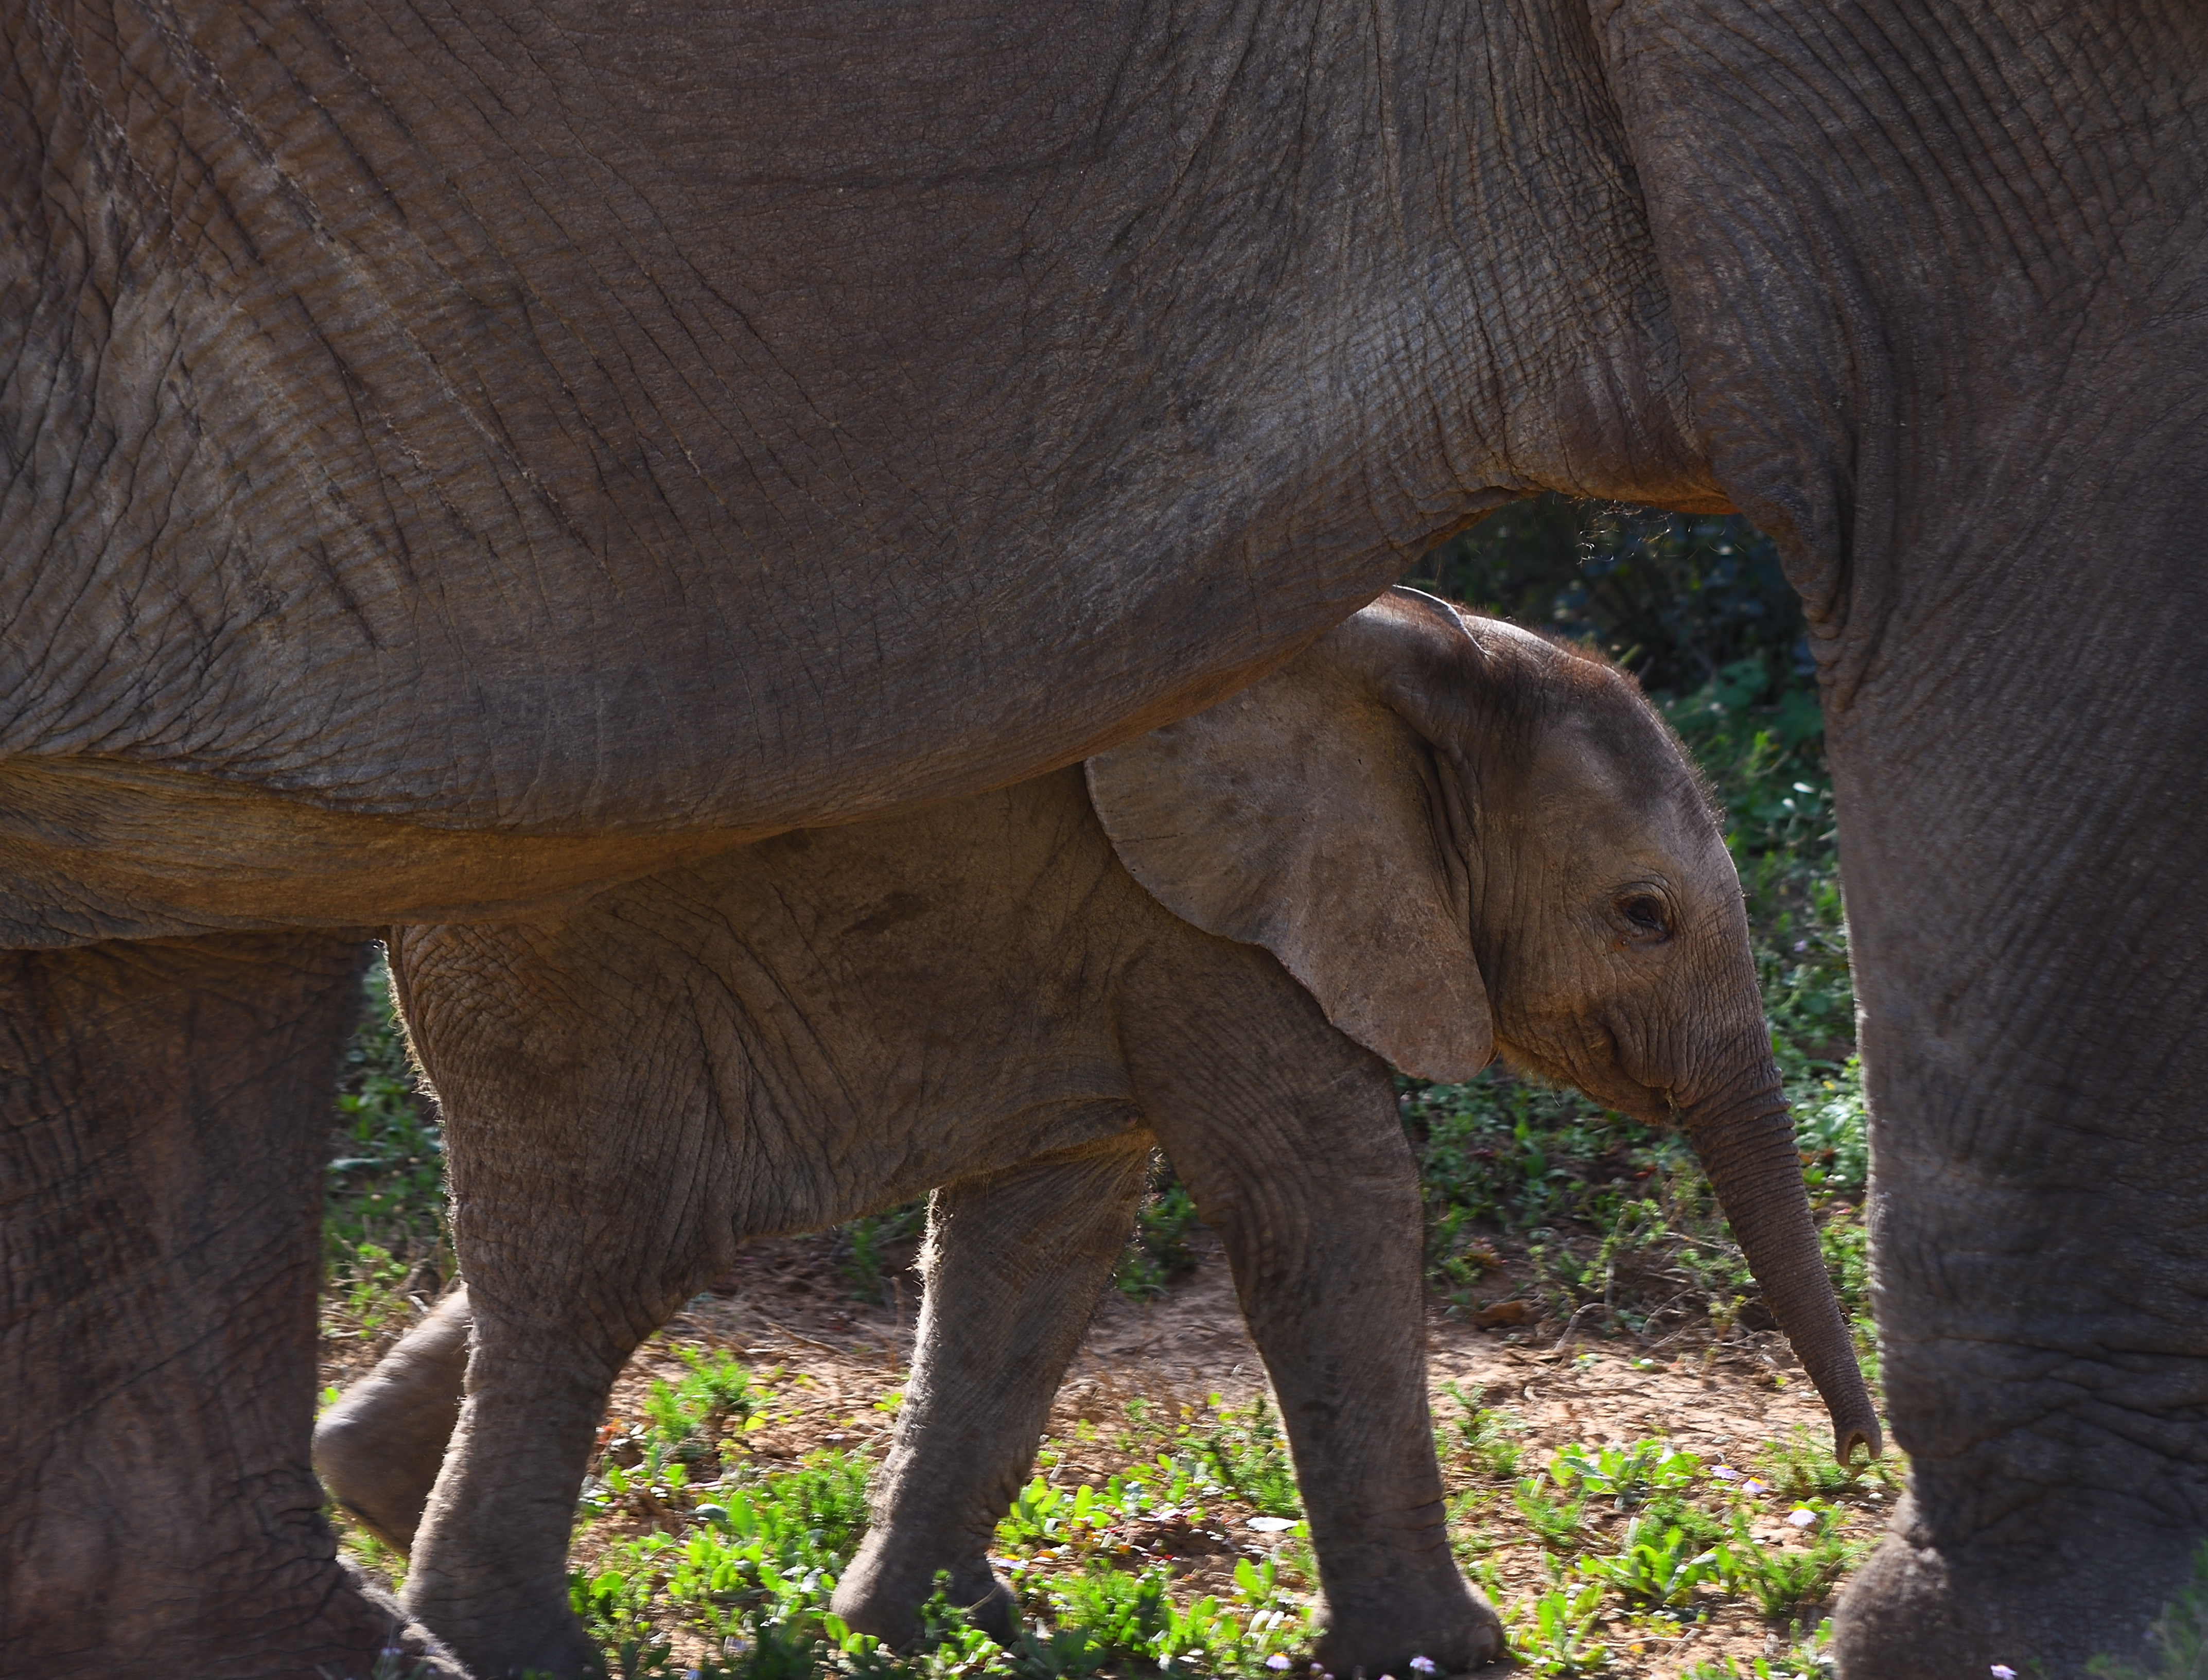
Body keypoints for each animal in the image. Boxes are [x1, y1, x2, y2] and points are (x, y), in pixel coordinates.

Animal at [311, 592, 1877, 1678]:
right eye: (1641, 915)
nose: (1864, 1467)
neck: (1422, 664)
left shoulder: (1135, 930)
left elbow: (1041, 1234)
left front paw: (935, 1630)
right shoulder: (1212, 925)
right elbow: (1328, 1201)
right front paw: (1454, 1654)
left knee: (646, 1244)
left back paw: (367, 1495)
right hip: (568, 965)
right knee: (604, 1265)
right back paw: (503, 1643)